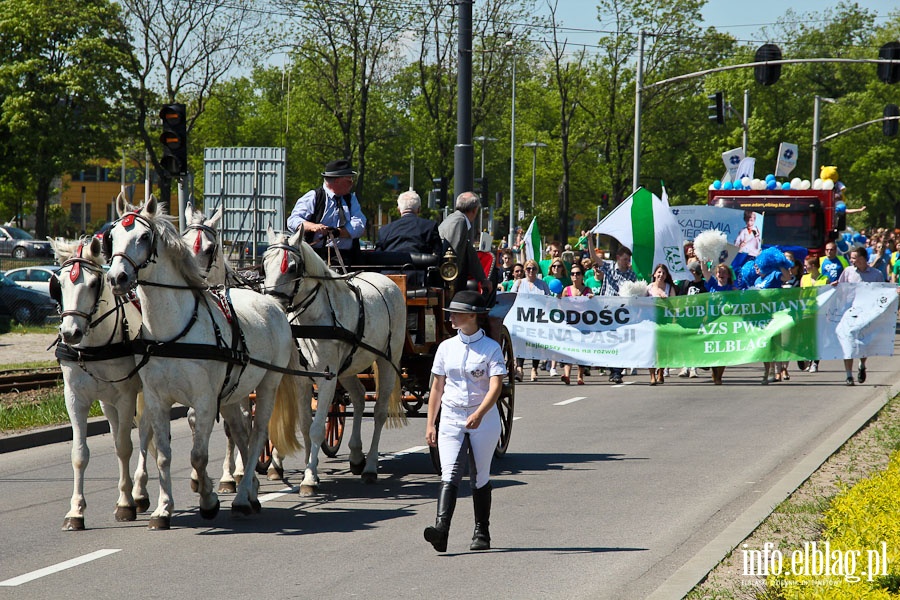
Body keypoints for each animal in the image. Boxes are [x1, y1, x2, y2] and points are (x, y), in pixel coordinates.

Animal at [51, 234, 146, 528]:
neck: (92, 347)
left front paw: (125, 504)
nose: (70, 332)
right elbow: (80, 454)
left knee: (146, 435)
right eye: (58, 284)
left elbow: (125, 447)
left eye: (93, 283)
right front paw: (76, 511)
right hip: (108, 403)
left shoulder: (127, 396)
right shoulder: (75, 399)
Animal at [105, 197, 302, 528]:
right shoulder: (158, 399)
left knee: (257, 434)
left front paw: (208, 501)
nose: (116, 277)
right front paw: (163, 509)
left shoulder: (205, 399)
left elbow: (198, 455)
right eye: (112, 236)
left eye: (143, 237)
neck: (172, 329)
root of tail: (271, 302)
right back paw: (248, 489)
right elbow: (164, 454)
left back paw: (242, 497)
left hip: (267, 386)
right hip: (234, 392)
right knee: (242, 433)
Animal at [258, 227, 402, 494]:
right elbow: (305, 424)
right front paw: (309, 468)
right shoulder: (302, 380)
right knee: (358, 396)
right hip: (348, 368)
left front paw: (309, 478)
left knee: (379, 412)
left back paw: (370, 467)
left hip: (387, 361)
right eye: (264, 264)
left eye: (292, 267)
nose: (272, 303)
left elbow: (316, 429)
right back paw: (356, 456)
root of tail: (388, 282)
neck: (314, 319)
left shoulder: (326, 378)